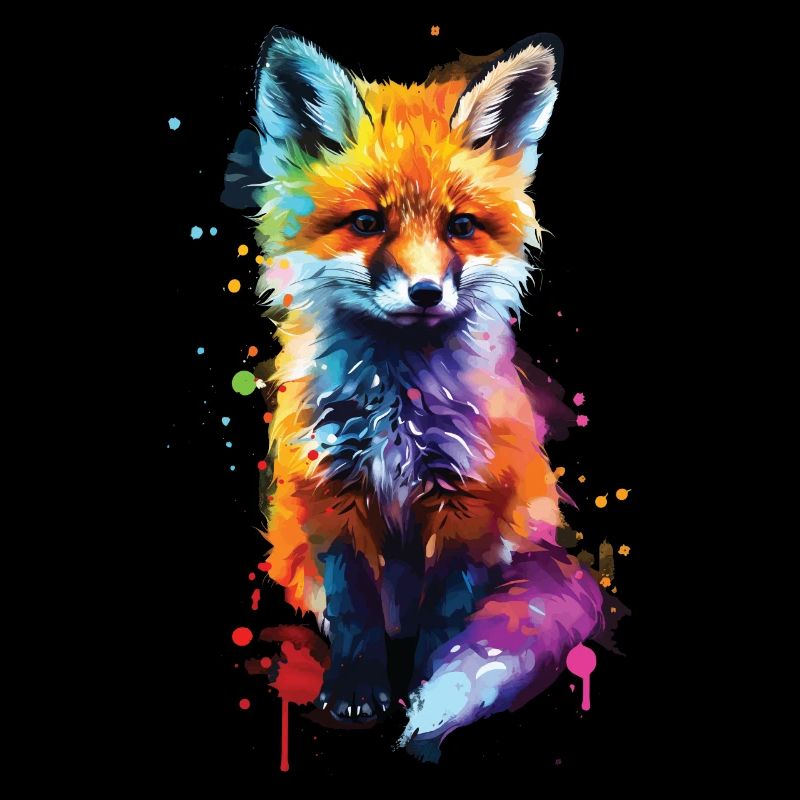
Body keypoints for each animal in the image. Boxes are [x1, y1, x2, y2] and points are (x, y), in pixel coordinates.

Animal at [223, 27, 606, 762]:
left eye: (461, 227)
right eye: (368, 222)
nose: (426, 293)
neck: (396, 407)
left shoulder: (467, 501)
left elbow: (447, 621)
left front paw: (425, 691)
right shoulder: (331, 493)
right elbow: (354, 610)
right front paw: (354, 692)